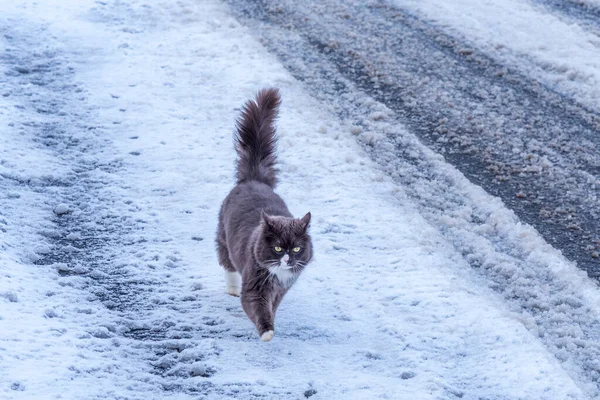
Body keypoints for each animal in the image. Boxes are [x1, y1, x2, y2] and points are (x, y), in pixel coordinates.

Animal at [216, 87, 314, 340]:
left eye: (296, 249)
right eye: (278, 248)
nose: (288, 258)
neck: (278, 276)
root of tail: (254, 178)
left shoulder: (281, 290)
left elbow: (273, 306)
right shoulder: (255, 285)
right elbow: (257, 308)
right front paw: (267, 333)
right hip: (223, 236)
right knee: (227, 264)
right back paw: (232, 288)